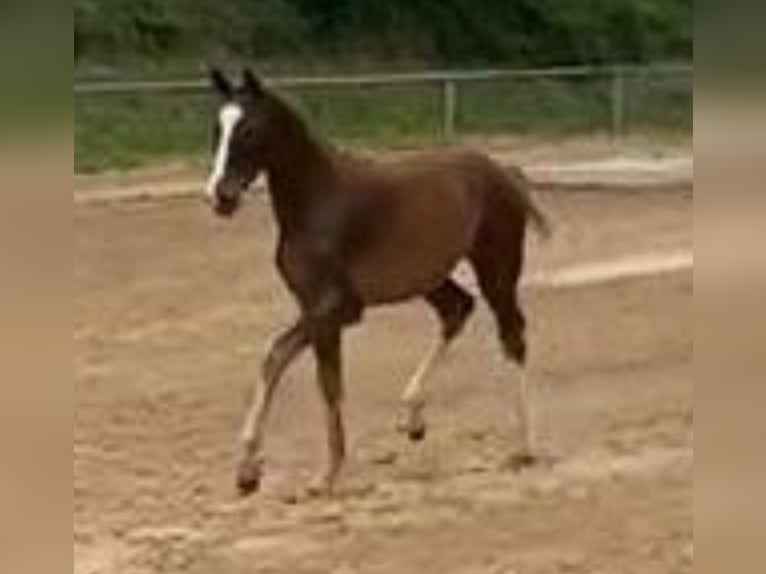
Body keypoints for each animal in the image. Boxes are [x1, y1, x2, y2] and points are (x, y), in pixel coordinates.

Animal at [205, 68, 551, 496]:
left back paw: (523, 445)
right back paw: (413, 416)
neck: (317, 203)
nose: (220, 196)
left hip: (496, 267)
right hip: (428, 277)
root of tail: (505, 172)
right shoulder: (315, 308)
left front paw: (326, 474)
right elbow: (275, 357)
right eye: (217, 128)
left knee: (512, 335)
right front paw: (248, 470)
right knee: (458, 310)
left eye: (250, 129)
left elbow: (326, 382)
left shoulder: (334, 310)